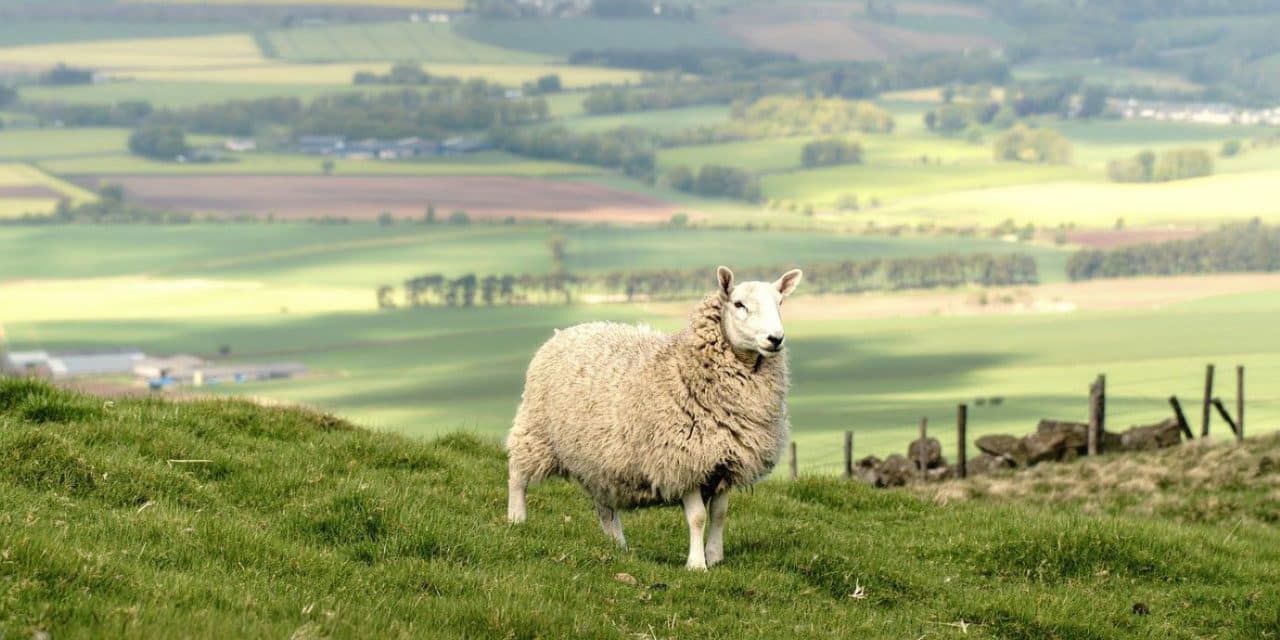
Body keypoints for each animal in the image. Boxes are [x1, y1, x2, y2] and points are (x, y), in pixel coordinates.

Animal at [506, 264, 798, 570]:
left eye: (780, 303)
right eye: (739, 304)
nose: (775, 339)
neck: (685, 368)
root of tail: (564, 331)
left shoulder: (725, 462)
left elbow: (719, 514)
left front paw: (715, 556)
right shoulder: (682, 460)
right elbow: (698, 517)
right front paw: (697, 564)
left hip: (598, 457)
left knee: (604, 506)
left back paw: (616, 545)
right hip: (536, 430)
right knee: (517, 473)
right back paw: (516, 518)